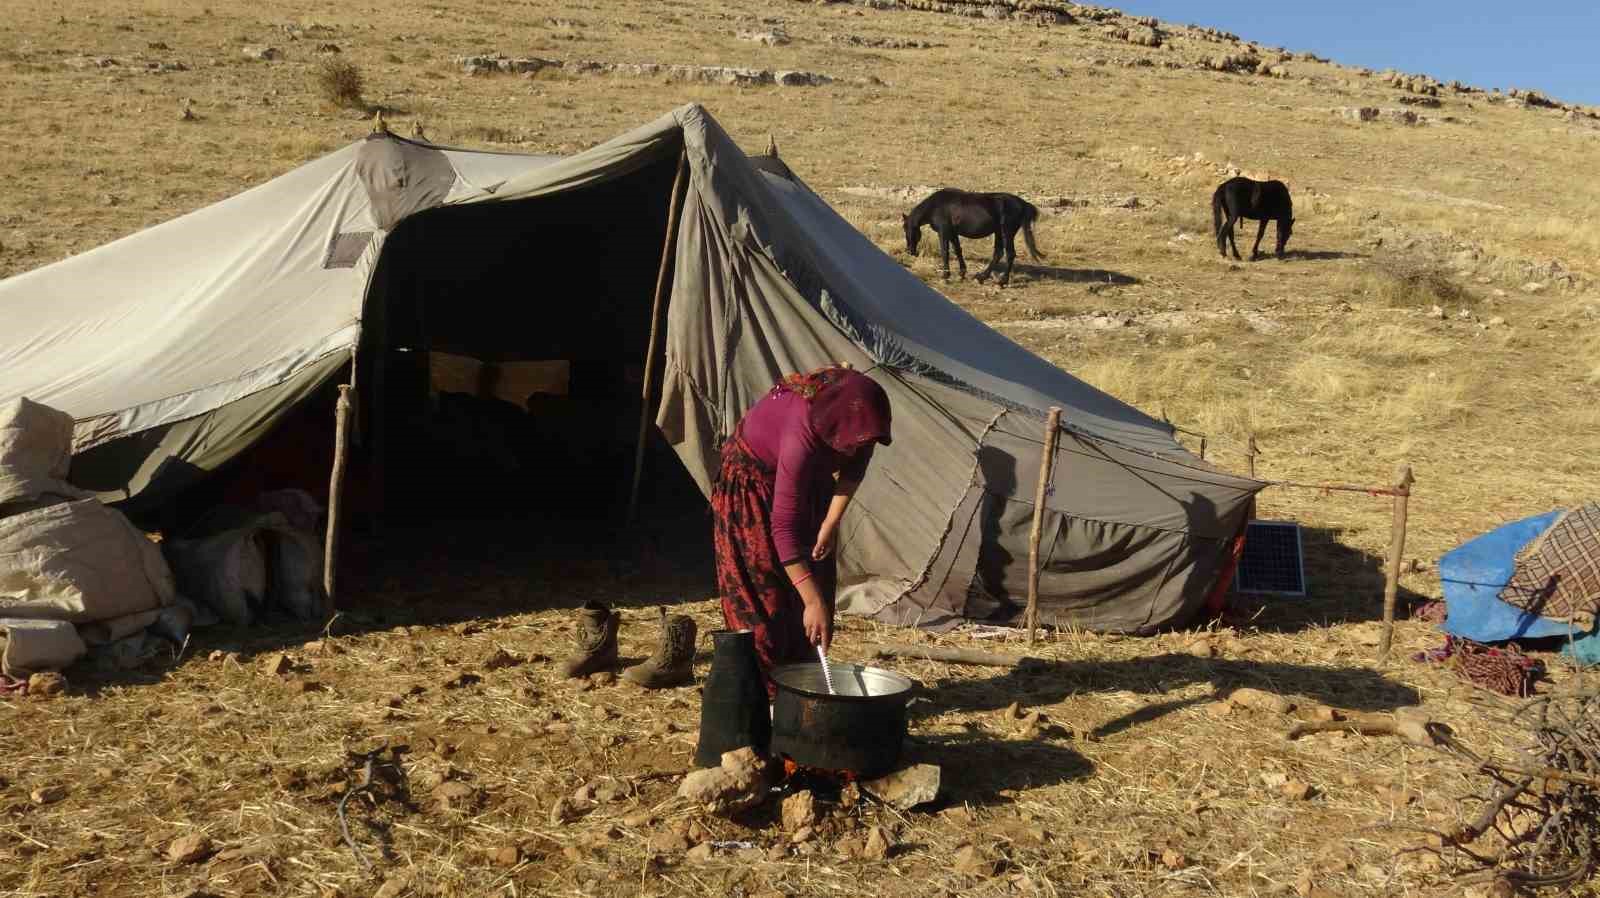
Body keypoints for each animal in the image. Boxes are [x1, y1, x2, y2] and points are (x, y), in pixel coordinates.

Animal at [908, 188, 1043, 283]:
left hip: (1006, 233)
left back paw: (1002, 281)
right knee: (998, 253)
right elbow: (958, 250)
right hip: (999, 233)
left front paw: (945, 275)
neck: (936, 206)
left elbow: (945, 252)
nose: (910, 252)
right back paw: (982, 277)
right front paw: (962, 273)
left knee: (1010, 254)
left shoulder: (944, 232)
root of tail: (1023, 204)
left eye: (907, 229)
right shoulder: (953, 233)